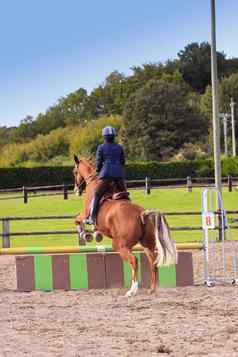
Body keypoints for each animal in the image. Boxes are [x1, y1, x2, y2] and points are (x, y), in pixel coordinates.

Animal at [73, 154, 177, 296]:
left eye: (74, 172)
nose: (76, 190)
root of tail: (141, 213)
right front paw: (95, 234)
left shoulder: (85, 214)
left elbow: (77, 220)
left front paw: (86, 234)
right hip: (147, 245)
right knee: (153, 262)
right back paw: (152, 289)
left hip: (120, 245)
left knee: (134, 261)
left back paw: (132, 290)